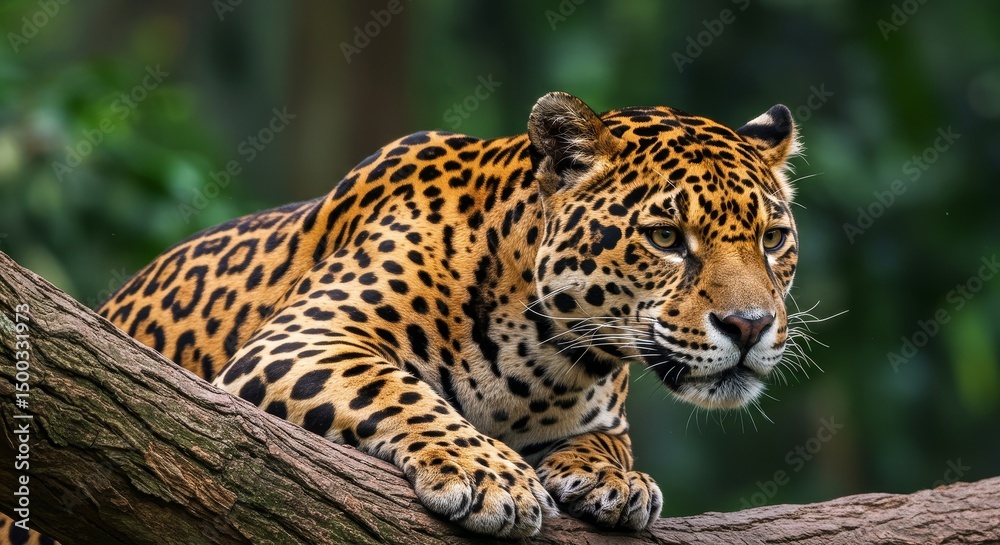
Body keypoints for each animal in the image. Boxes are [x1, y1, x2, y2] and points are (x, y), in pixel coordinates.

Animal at [4, 91, 801, 542]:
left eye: (771, 239)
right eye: (665, 238)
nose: (749, 326)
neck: (547, 357)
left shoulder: (601, 412)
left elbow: (611, 443)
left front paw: (617, 481)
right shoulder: (301, 340)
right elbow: (398, 390)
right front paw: (493, 476)